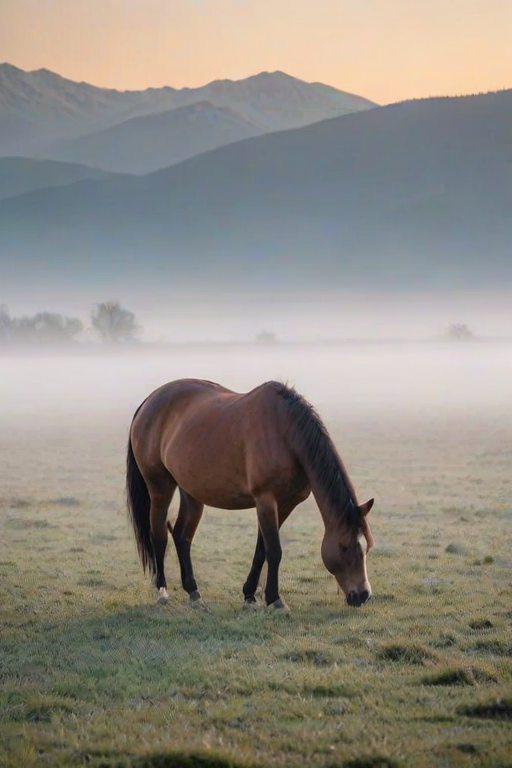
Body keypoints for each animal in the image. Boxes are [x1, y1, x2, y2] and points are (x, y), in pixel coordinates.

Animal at [126, 378, 375, 612]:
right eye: (344, 547)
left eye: (368, 546)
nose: (362, 595)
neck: (284, 432)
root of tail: (149, 402)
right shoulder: (265, 500)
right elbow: (274, 550)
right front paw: (275, 599)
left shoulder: (286, 504)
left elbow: (261, 550)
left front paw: (250, 596)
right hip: (160, 488)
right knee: (159, 535)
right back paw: (162, 592)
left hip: (191, 492)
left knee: (182, 536)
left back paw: (194, 593)